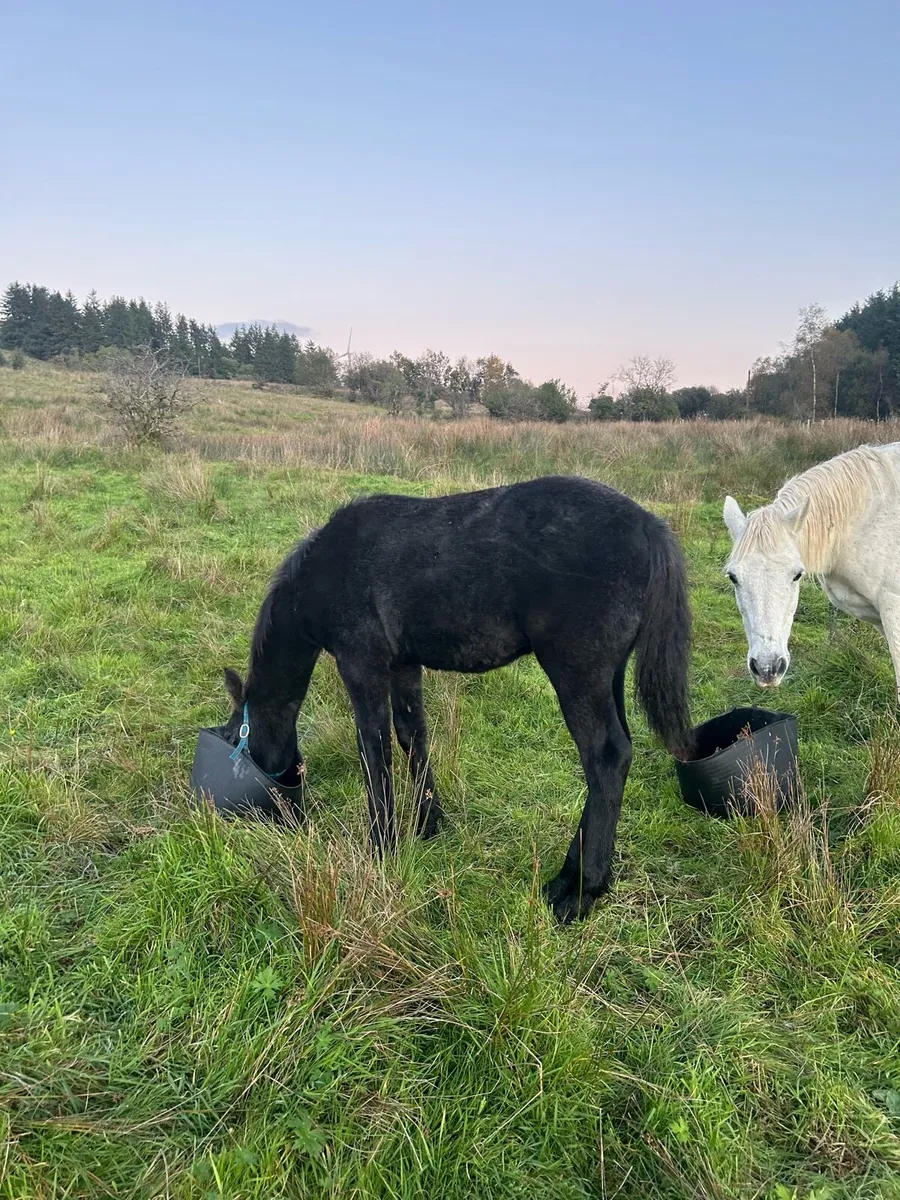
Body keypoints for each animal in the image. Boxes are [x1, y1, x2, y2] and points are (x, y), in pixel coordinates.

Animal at [217, 475, 693, 923]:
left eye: (235, 738)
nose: (267, 818)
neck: (327, 569)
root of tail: (648, 526)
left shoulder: (361, 663)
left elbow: (374, 750)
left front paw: (381, 848)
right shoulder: (403, 664)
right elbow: (411, 736)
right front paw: (428, 823)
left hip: (577, 672)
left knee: (605, 758)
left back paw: (581, 892)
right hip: (608, 675)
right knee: (616, 758)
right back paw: (569, 878)